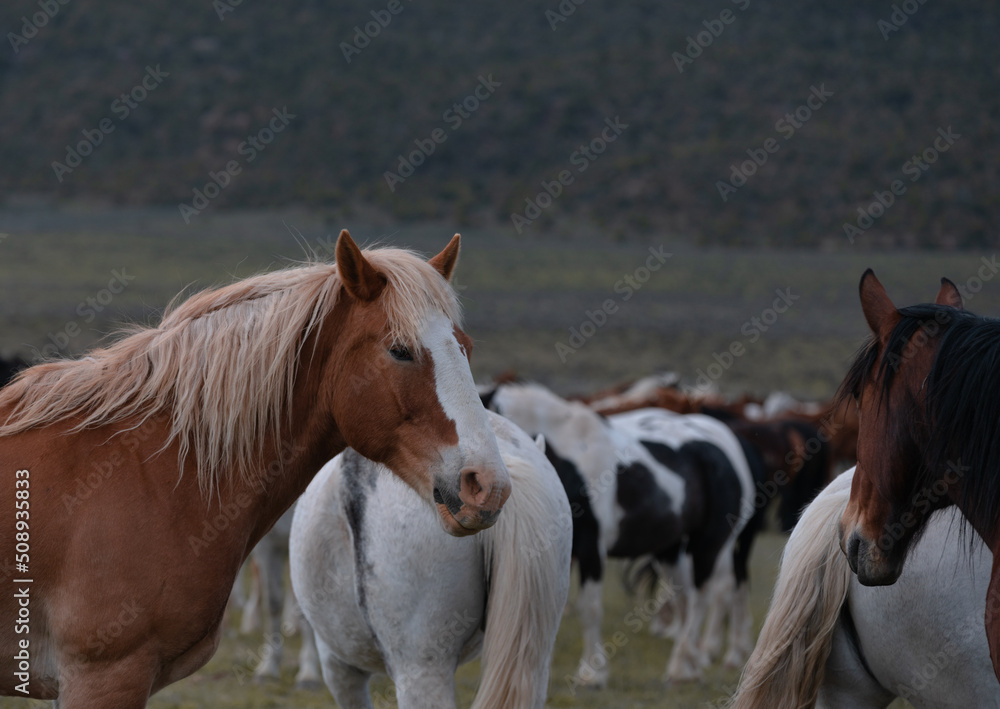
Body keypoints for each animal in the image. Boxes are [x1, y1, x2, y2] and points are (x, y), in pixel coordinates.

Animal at [481, 382, 755, 684]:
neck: (568, 456)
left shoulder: (590, 547)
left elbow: (589, 609)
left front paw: (592, 674)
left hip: (710, 545)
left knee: (703, 598)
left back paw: (685, 665)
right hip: (669, 549)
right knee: (684, 598)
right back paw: (688, 667)